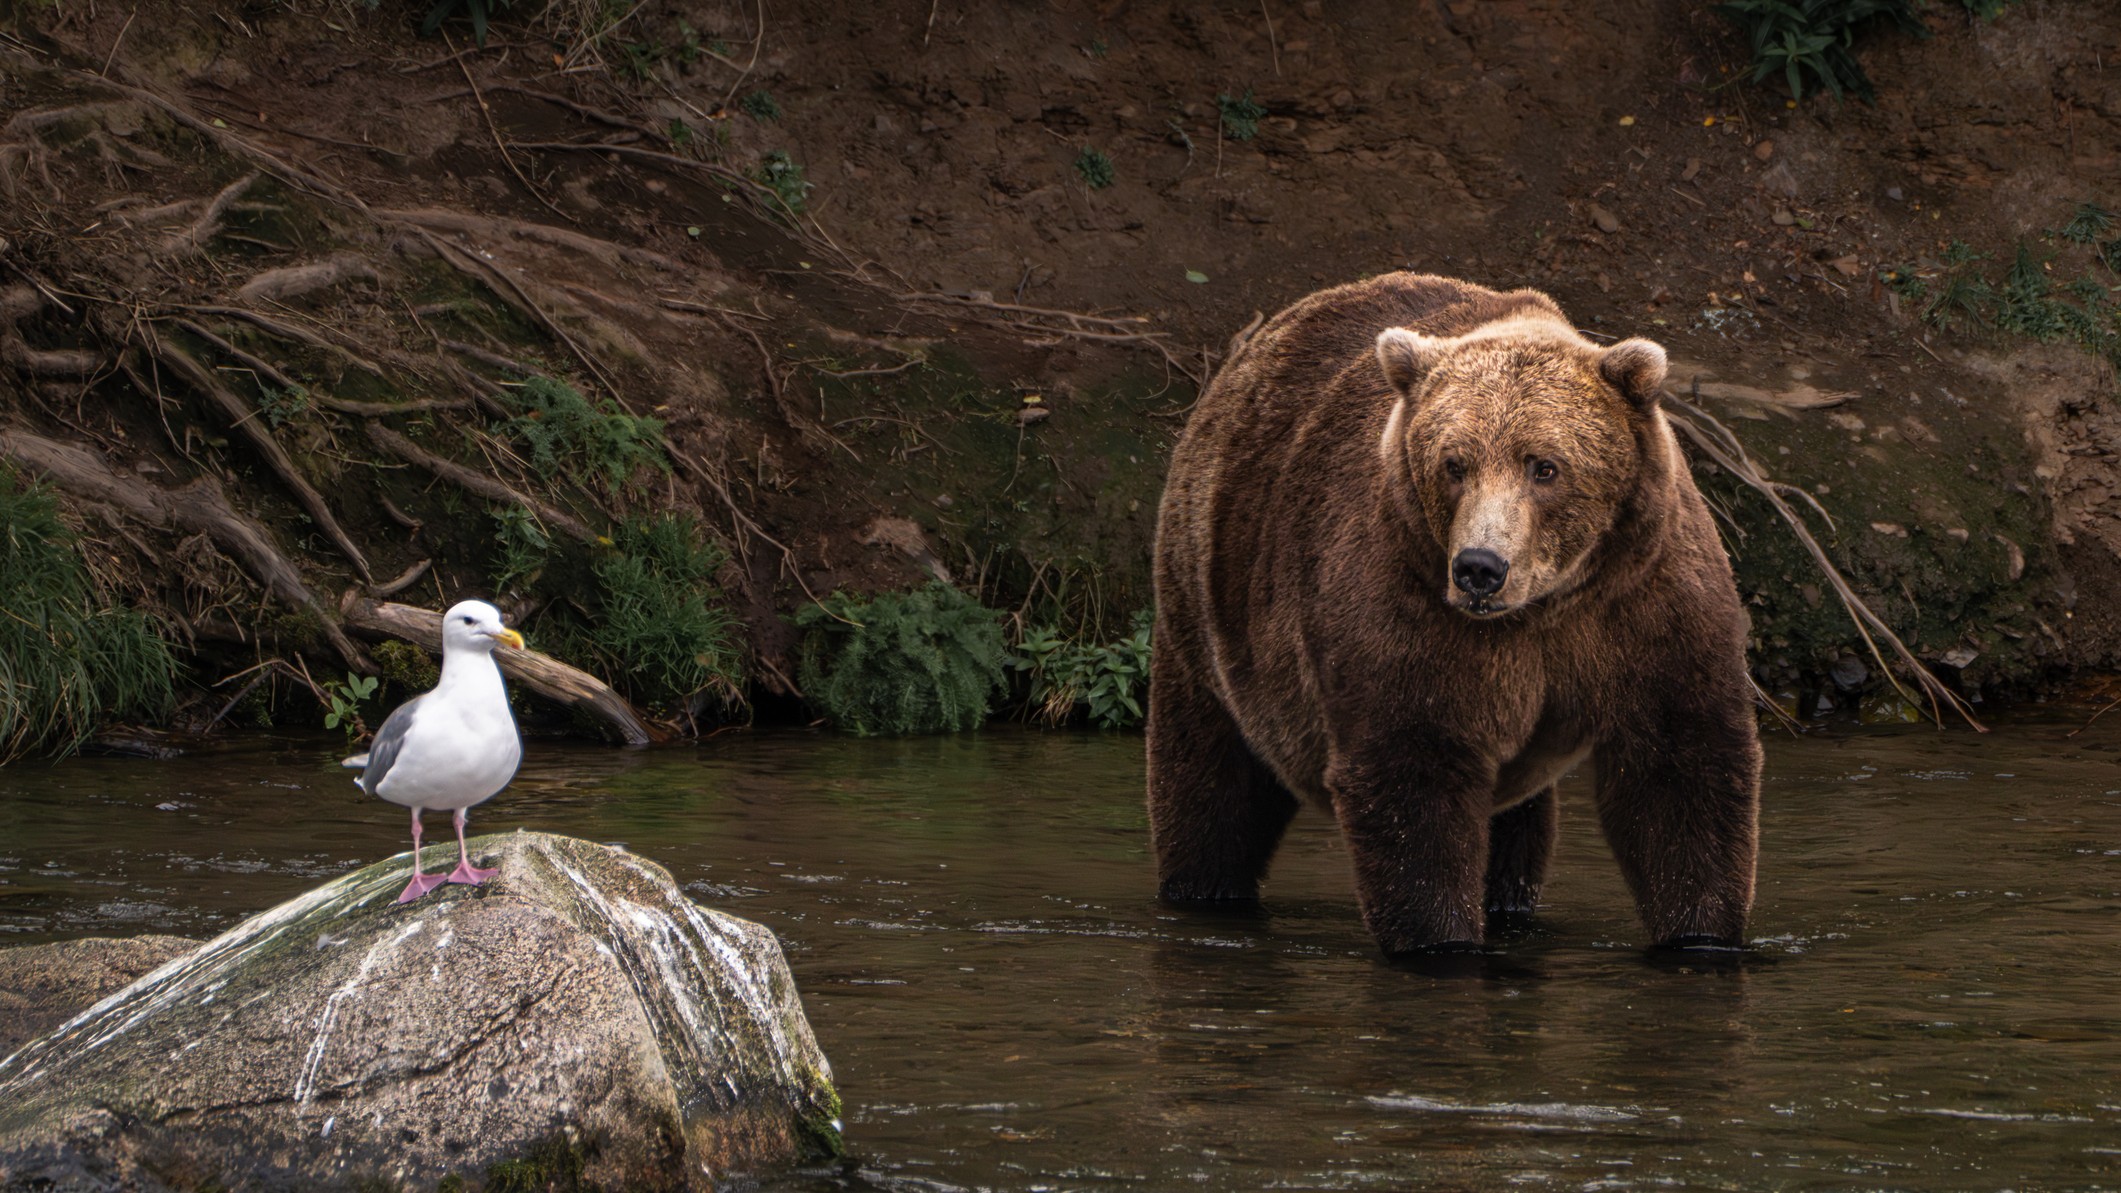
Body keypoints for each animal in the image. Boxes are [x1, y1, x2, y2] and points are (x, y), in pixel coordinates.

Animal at [1148, 272, 1761, 955]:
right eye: (1454, 463)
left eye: (1544, 466)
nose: (1479, 567)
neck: (1546, 606)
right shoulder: (1404, 600)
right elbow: (1414, 772)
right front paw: (1440, 940)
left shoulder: (1644, 599)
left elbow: (1679, 771)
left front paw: (1701, 934)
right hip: (1207, 607)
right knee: (1211, 781)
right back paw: (1204, 886)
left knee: (1517, 828)